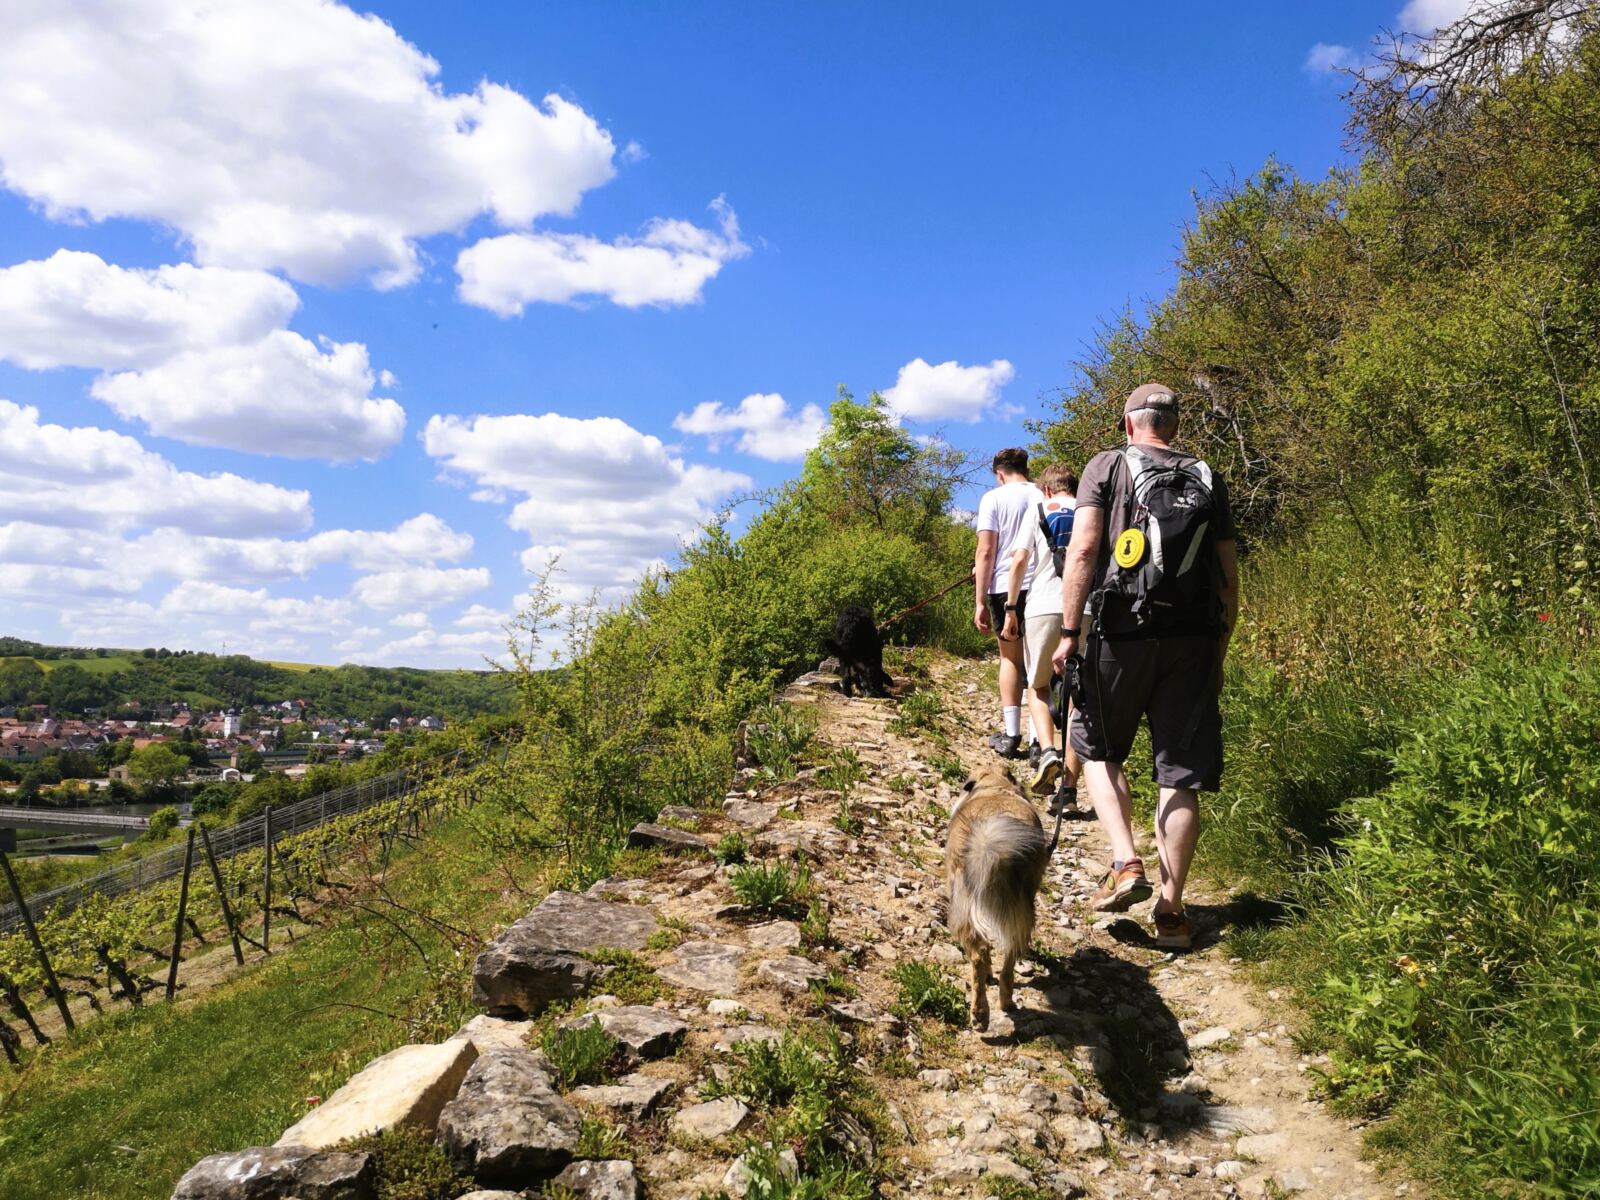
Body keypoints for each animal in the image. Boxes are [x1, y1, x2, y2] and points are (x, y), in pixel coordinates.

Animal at [945, 763, 1052, 1029]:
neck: (994, 788)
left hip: (966, 906)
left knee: (979, 954)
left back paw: (981, 1013)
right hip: (1019, 911)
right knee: (1005, 959)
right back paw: (1001, 1004)